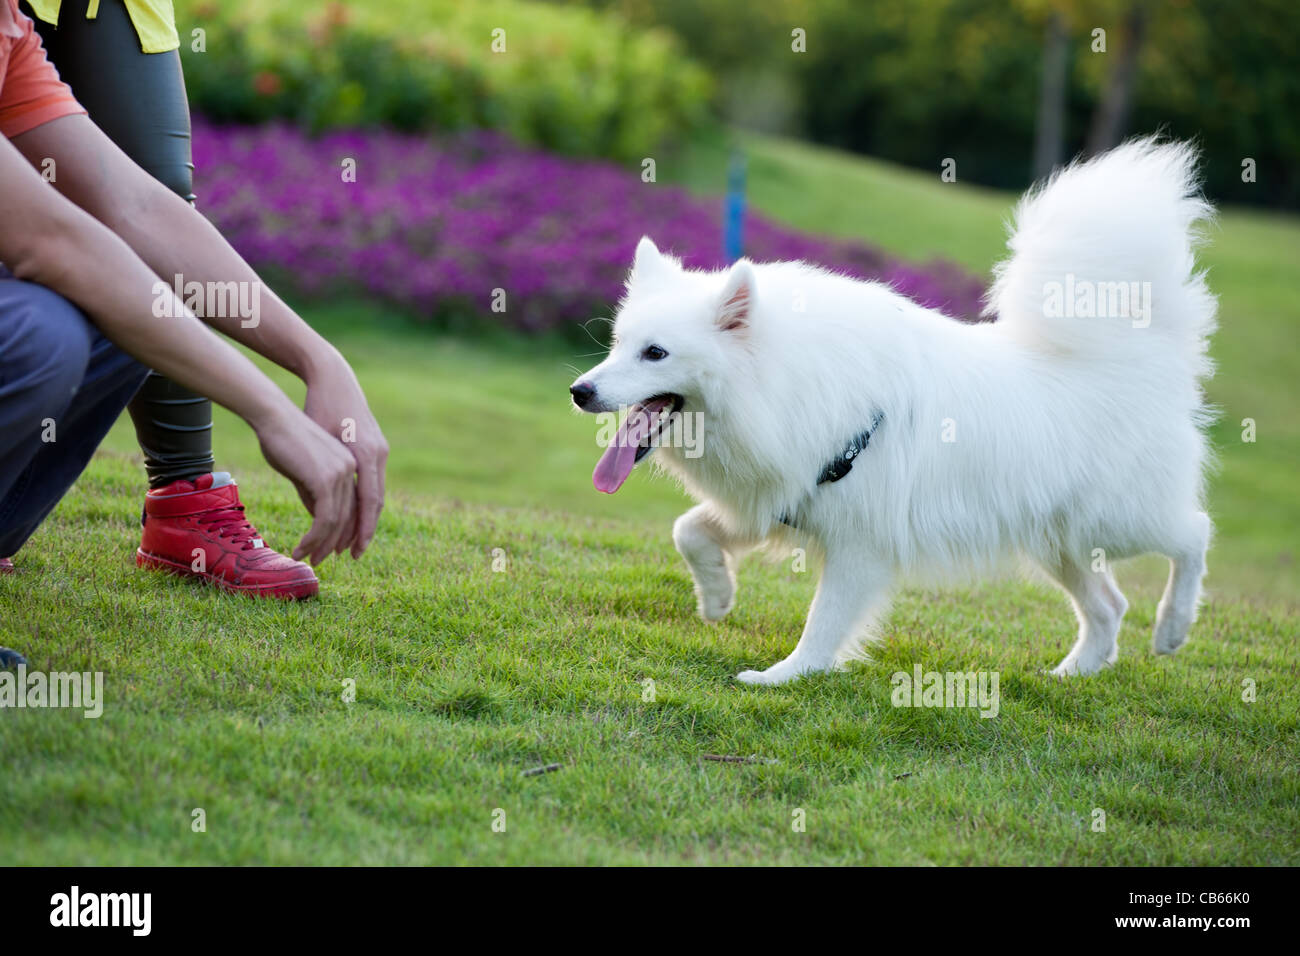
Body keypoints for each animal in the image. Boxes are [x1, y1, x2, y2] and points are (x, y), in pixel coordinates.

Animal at [572, 138, 1216, 686]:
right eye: (617, 344)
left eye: (656, 353)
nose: (580, 391)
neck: (786, 382)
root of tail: (1139, 352)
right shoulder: (775, 499)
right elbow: (689, 531)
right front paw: (717, 597)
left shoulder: (860, 544)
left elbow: (822, 623)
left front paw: (784, 676)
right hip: (1061, 538)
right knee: (1109, 604)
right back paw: (1075, 673)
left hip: (1119, 519)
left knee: (1193, 534)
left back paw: (1173, 627)